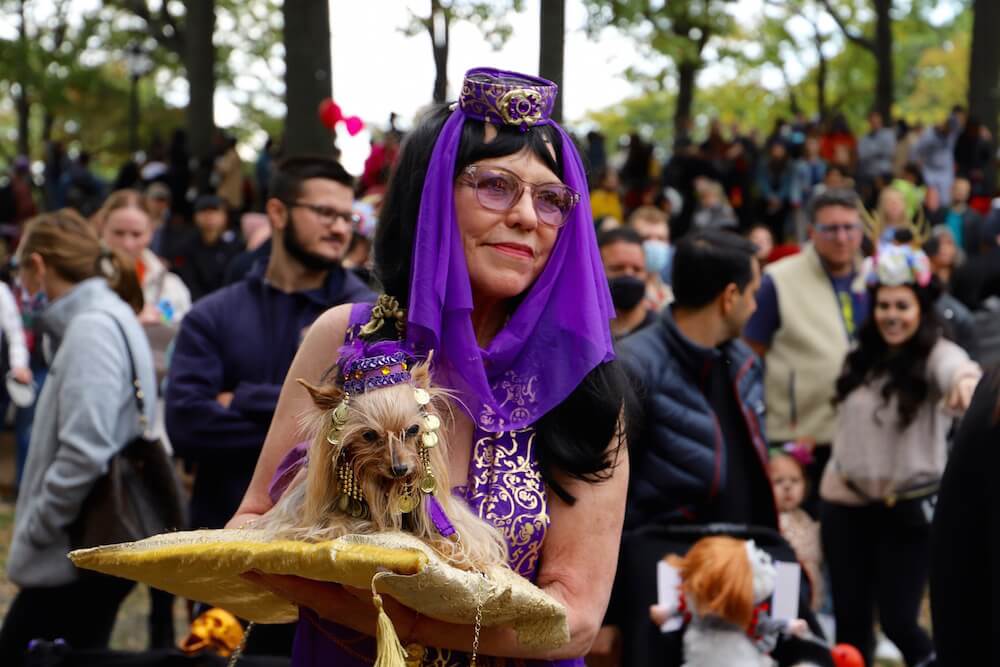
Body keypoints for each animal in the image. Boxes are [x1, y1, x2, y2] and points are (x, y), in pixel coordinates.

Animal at [258, 336, 508, 572]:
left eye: (413, 430)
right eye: (368, 435)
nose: (400, 469)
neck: (383, 486)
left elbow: (452, 539)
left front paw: (468, 559)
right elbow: (331, 521)